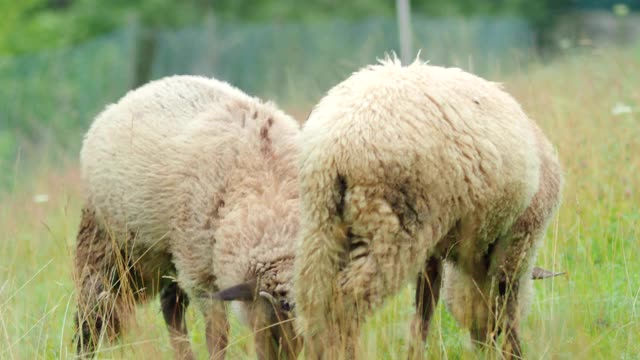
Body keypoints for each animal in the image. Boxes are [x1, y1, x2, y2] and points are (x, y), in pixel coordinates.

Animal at [74, 74, 304, 358]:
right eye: (269, 329)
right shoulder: (201, 273)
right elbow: (218, 333)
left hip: (167, 256)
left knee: (169, 306)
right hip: (109, 246)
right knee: (92, 311)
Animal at [292, 54, 564, 360]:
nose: (482, 344)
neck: (473, 267)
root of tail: (335, 146)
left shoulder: (434, 250)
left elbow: (426, 305)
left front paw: (415, 351)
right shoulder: (518, 240)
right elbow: (507, 303)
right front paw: (514, 351)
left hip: (322, 224)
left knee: (313, 301)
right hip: (394, 225)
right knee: (346, 301)